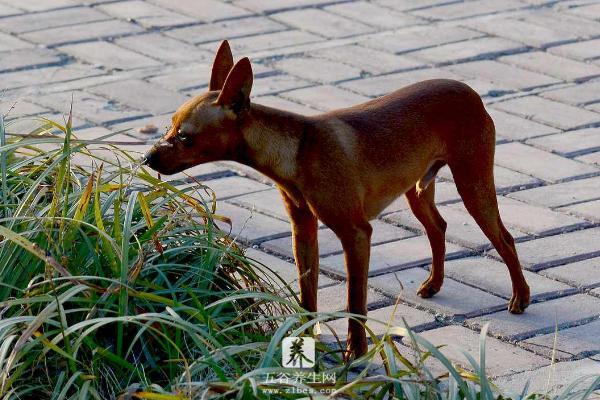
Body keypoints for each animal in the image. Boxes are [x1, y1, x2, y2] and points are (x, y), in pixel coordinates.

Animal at [144, 40, 528, 358]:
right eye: (168, 126)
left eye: (185, 138)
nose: (147, 158)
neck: (298, 151)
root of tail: (469, 90)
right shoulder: (303, 233)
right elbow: (307, 293)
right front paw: (303, 338)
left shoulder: (356, 235)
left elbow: (355, 299)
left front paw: (355, 352)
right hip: (417, 191)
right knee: (438, 227)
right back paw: (434, 282)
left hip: (473, 185)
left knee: (505, 238)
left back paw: (520, 297)